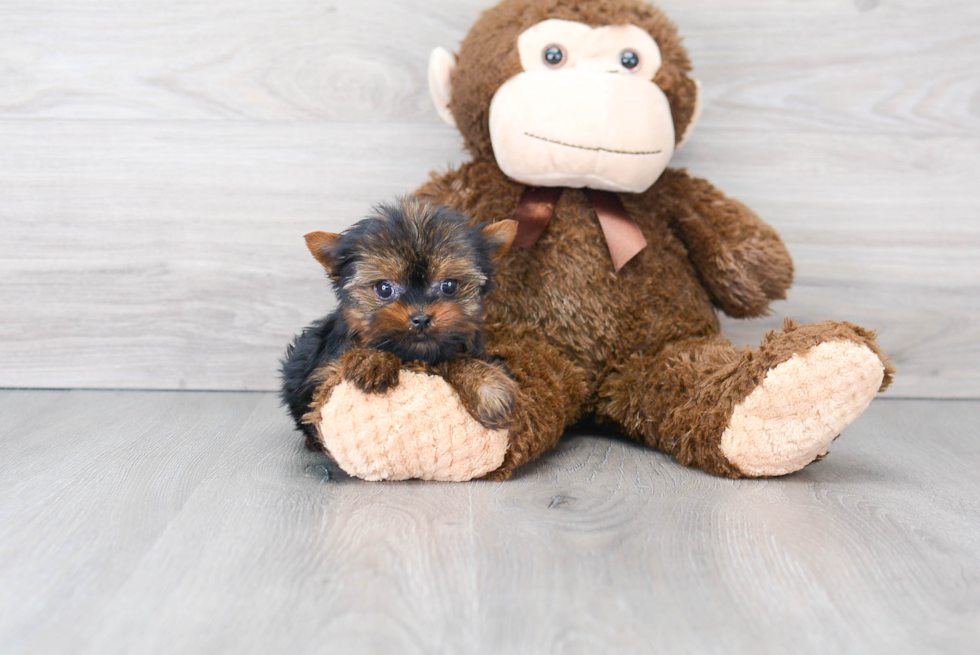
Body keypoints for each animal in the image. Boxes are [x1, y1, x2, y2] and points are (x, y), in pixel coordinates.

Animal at [280, 197, 520, 448]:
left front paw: (486, 385)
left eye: (449, 286)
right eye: (384, 289)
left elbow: (458, 358)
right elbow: (341, 363)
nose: (421, 318)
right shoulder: (324, 369)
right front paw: (372, 360)